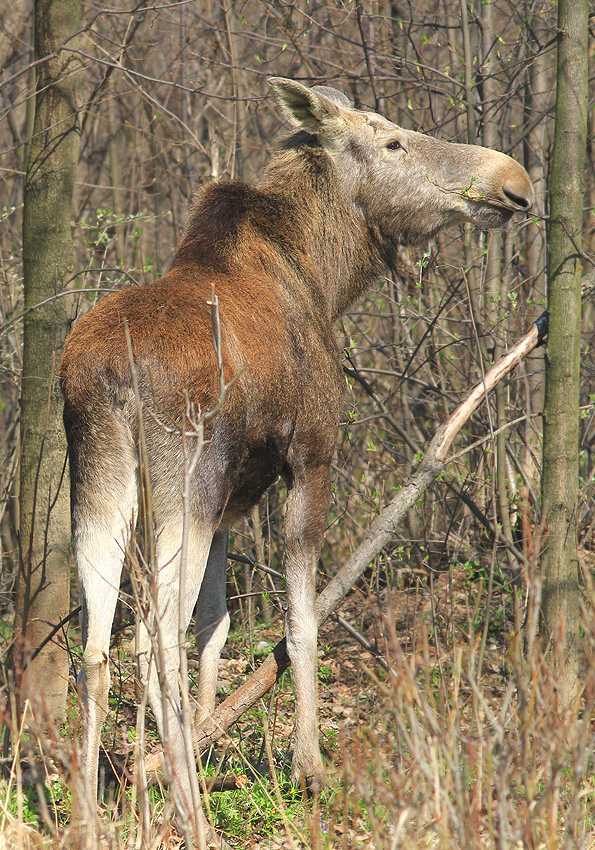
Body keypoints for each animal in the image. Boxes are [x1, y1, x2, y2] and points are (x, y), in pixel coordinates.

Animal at [60, 78, 532, 836]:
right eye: (391, 141)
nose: (512, 181)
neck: (326, 275)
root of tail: (109, 376)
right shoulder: (310, 458)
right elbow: (301, 623)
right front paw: (308, 767)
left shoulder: (230, 503)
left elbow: (217, 629)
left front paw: (202, 747)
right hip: (180, 486)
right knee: (152, 641)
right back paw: (193, 820)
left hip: (98, 485)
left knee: (99, 647)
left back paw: (93, 815)